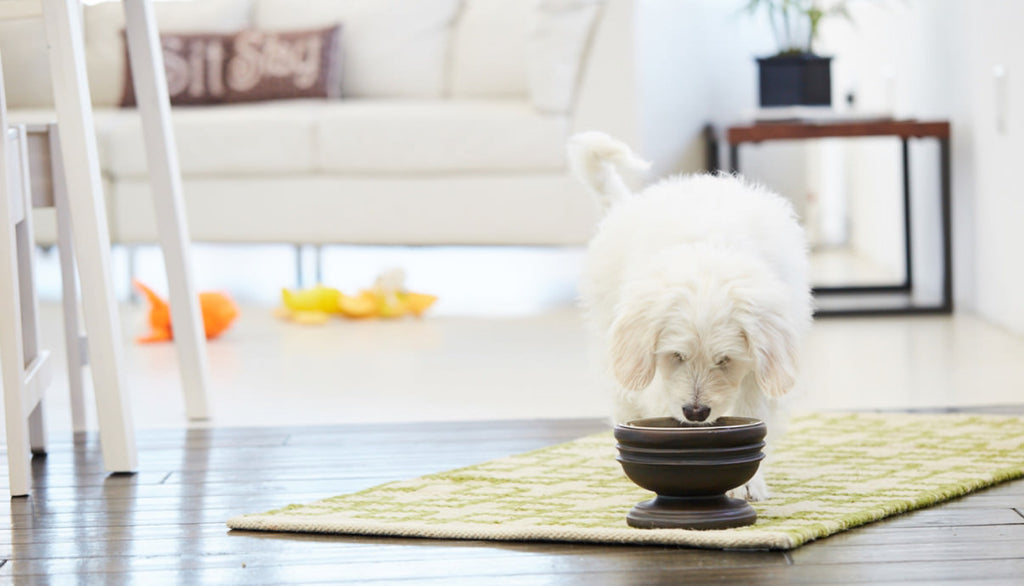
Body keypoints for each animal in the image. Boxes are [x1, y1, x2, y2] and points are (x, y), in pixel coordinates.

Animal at [573, 131, 811, 499]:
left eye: (725, 360)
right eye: (676, 356)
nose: (696, 413)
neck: (708, 253)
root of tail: (625, 205)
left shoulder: (761, 371)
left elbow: (753, 413)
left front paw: (748, 484)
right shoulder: (658, 377)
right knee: (624, 399)